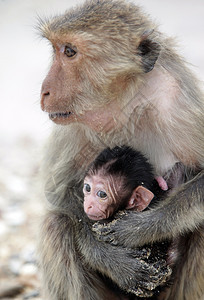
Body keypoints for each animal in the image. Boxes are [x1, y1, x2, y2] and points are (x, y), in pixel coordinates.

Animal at [39, 0, 203, 300]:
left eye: (69, 52)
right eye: (57, 49)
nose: (45, 91)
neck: (123, 102)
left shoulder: (179, 103)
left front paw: (136, 230)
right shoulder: (71, 120)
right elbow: (58, 190)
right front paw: (110, 258)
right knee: (55, 225)